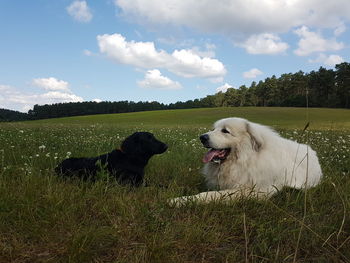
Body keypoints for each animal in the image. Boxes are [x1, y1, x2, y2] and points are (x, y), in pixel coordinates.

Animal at [171, 117, 322, 206]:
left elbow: (212, 195)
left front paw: (179, 200)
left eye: (225, 131)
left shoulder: (254, 191)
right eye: (214, 129)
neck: (246, 159)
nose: (202, 137)